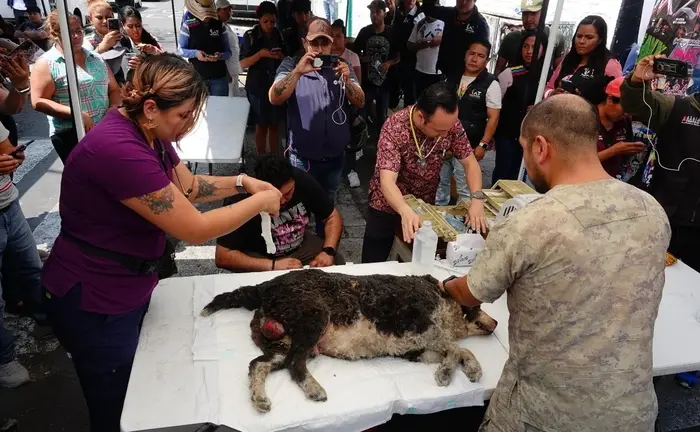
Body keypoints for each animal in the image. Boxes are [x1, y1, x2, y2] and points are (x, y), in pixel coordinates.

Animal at [201, 268, 498, 414]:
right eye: (478, 304)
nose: (496, 323)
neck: (441, 296)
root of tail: (263, 288)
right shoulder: (422, 325)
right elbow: (456, 347)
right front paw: (450, 372)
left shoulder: (415, 350)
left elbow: (459, 350)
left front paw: (467, 368)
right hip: (313, 319)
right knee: (295, 364)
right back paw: (314, 390)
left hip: (280, 342)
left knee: (258, 364)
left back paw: (259, 399)